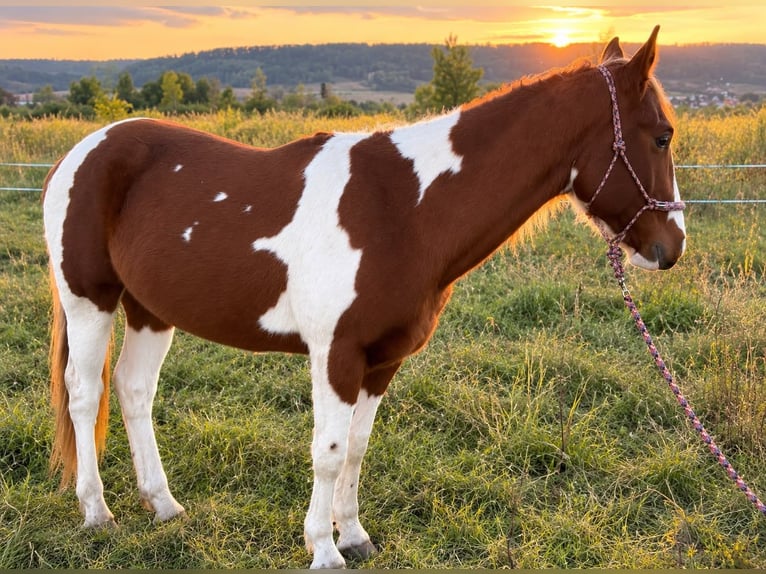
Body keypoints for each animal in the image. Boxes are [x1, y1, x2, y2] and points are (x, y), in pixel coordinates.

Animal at [42, 27, 685, 568]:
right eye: (661, 136)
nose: (672, 245)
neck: (404, 209)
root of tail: (80, 152)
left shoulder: (381, 361)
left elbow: (355, 448)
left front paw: (352, 536)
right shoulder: (337, 355)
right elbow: (327, 450)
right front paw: (323, 550)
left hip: (151, 310)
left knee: (133, 391)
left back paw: (163, 505)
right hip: (90, 300)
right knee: (85, 394)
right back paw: (97, 512)